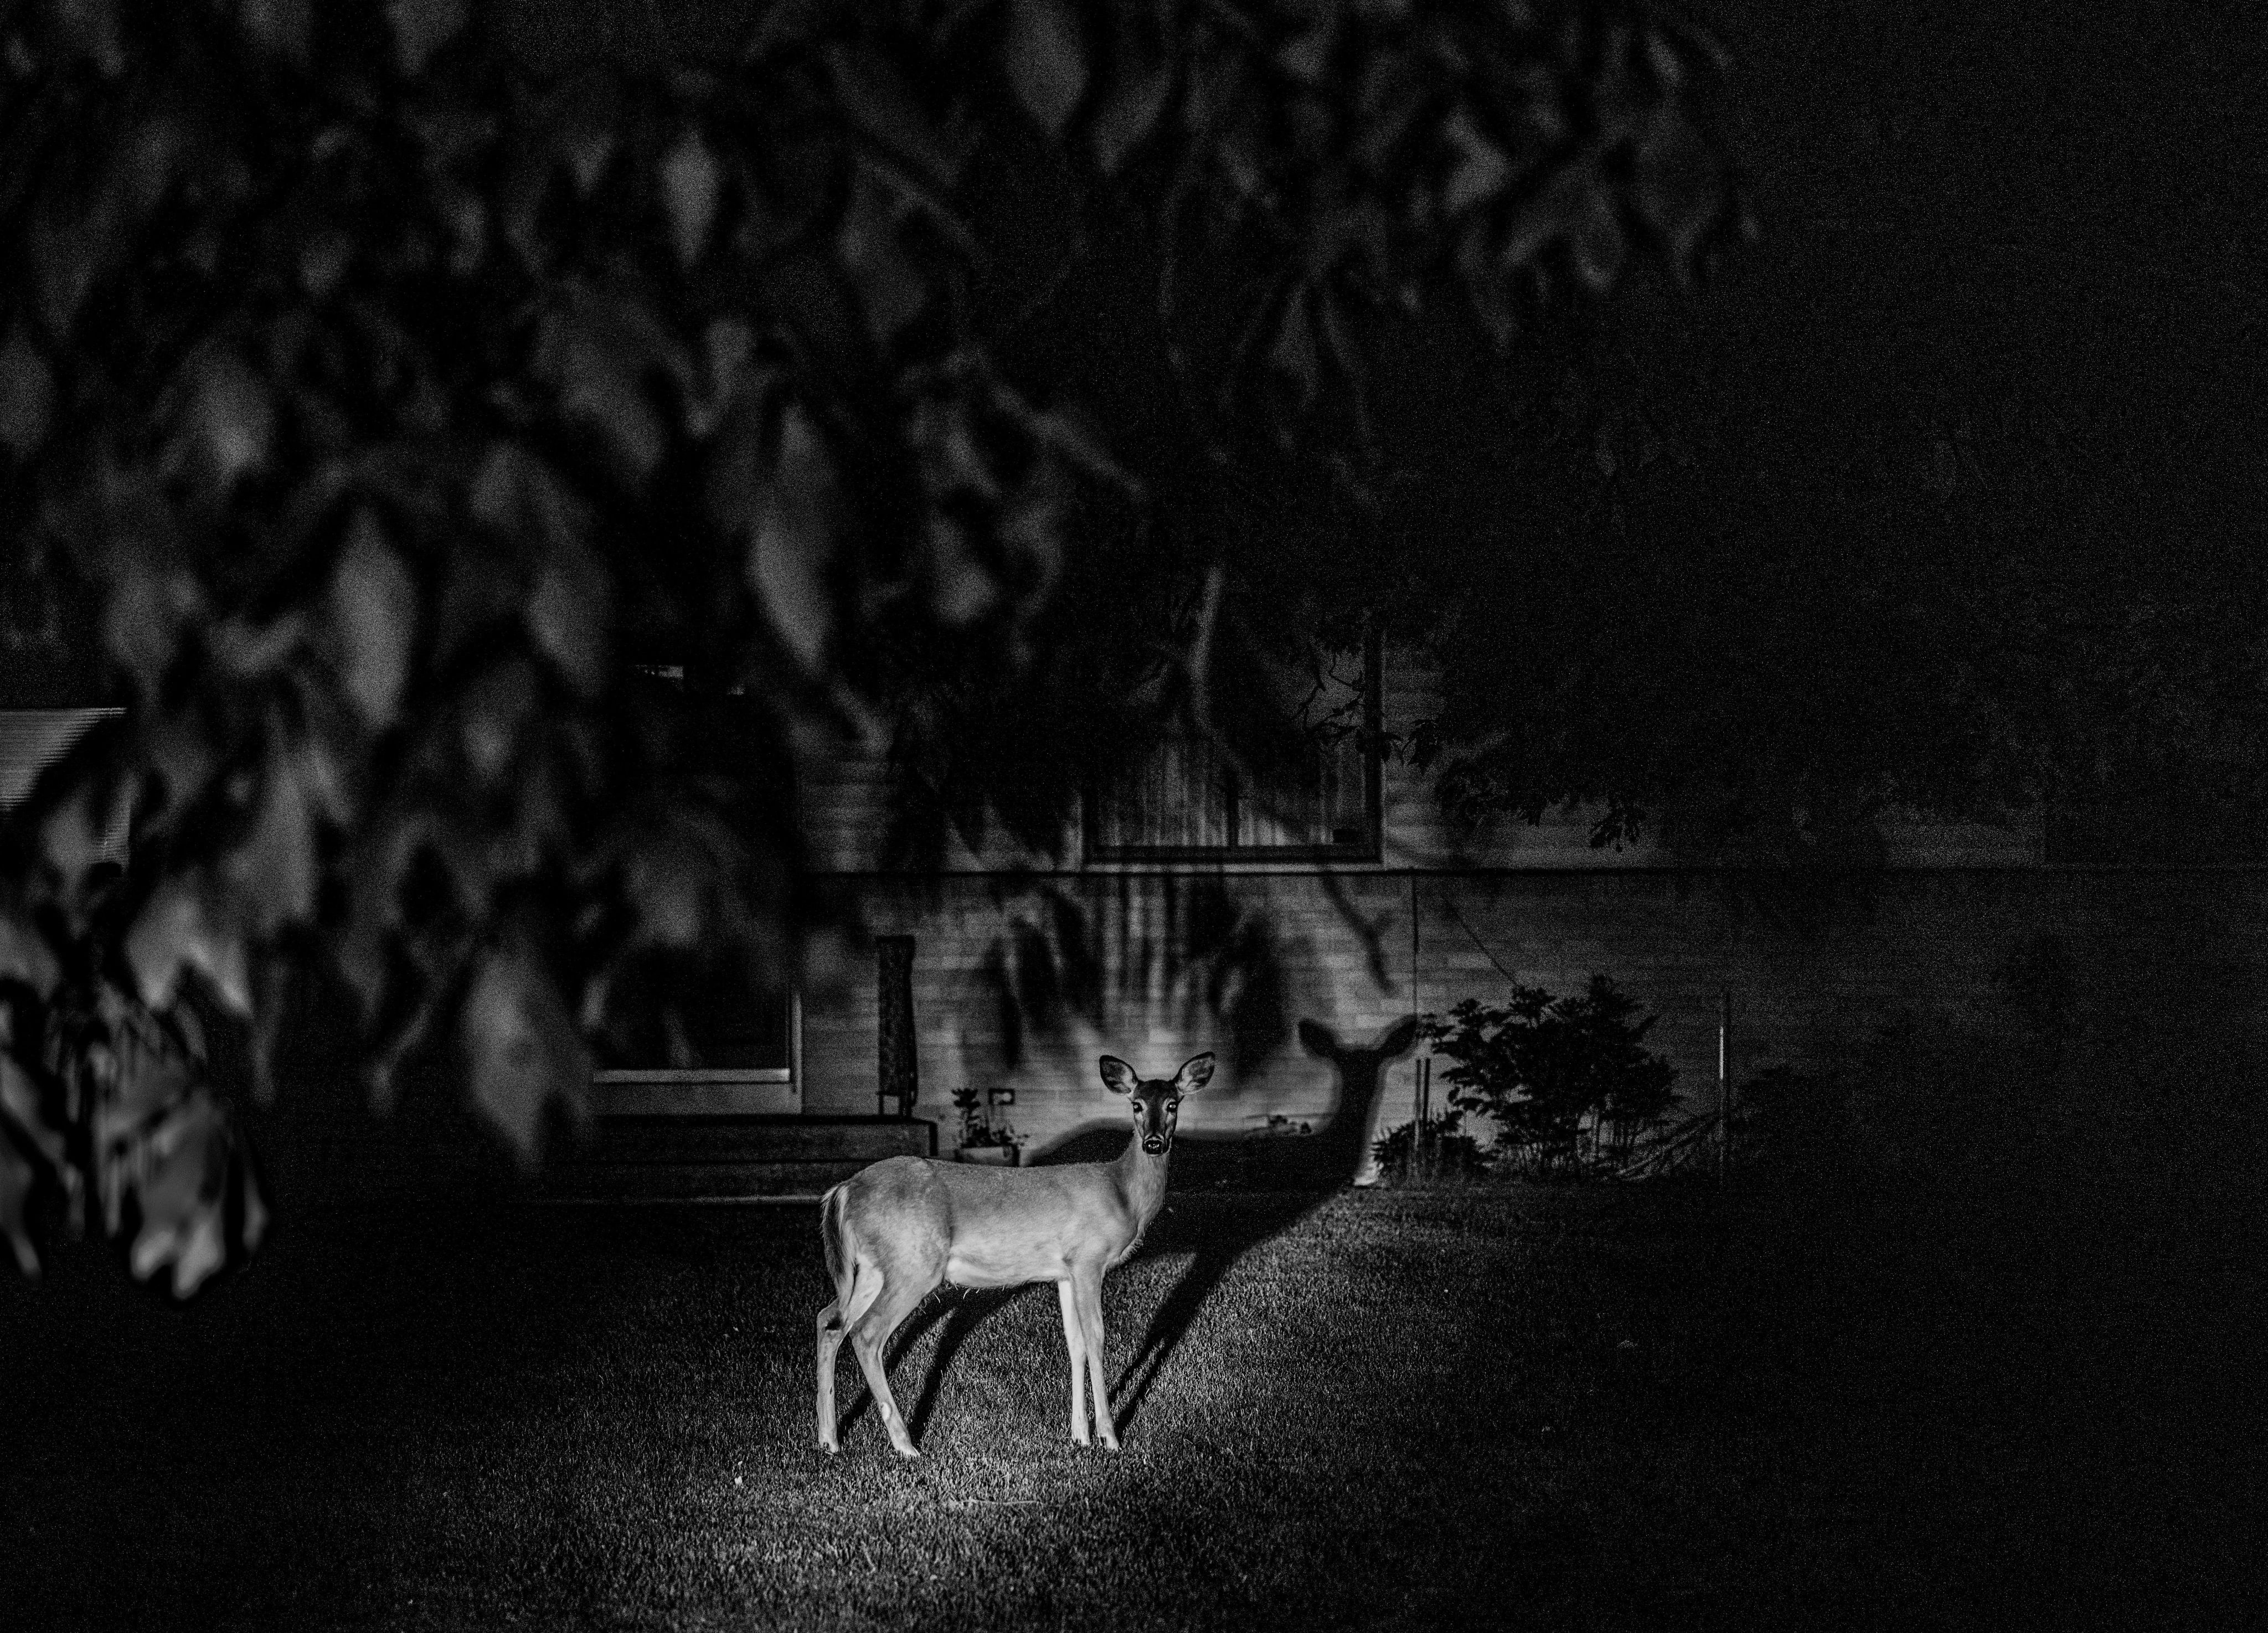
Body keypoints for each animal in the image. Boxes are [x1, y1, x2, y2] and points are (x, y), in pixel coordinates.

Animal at [815, 1052, 1214, 1457]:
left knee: (829, 1320)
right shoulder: (1088, 1259)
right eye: (1136, 1105)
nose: (1154, 1143)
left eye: (1173, 1104)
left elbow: (1075, 1344)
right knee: (866, 1333)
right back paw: (905, 1444)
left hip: (871, 1267)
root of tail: (843, 1190)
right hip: (915, 1263)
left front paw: (1079, 1434)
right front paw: (1109, 1437)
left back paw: (829, 1439)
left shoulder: (1065, 1272)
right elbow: (1097, 1339)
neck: (1123, 1193)